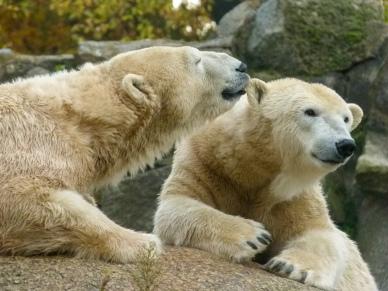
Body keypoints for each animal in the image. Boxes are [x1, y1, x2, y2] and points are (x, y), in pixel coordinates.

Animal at [0, 46, 249, 264]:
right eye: (197, 60)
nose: (242, 67)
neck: (83, 122)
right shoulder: (30, 138)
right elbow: (25, 196)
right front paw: (143, 242)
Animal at [153, 78, 378, 290]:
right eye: (310, 112)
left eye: (346, 118)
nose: (345, 144)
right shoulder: (203, 162)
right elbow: (176, 207)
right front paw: (254, 236)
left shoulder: (294, 195)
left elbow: (321, 234)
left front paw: (289, 266)